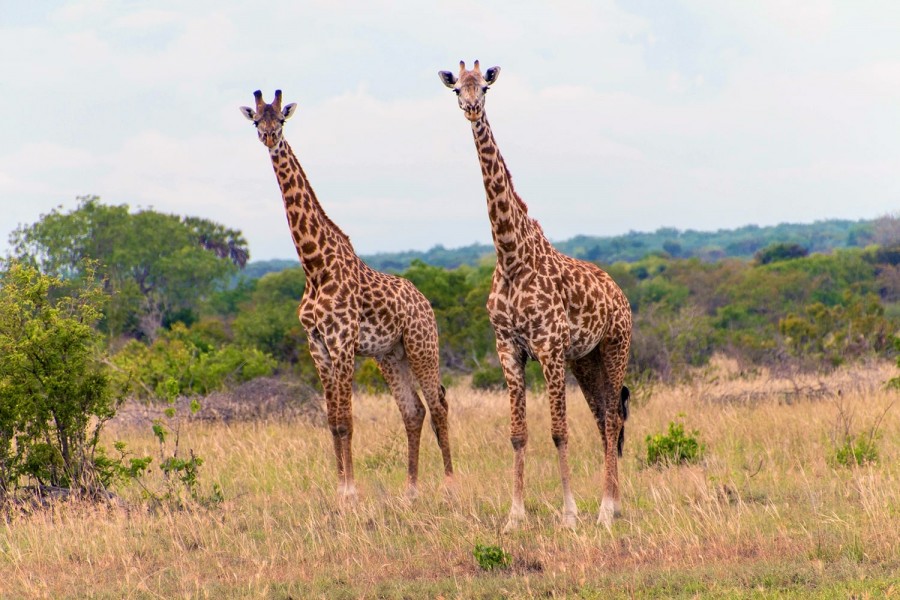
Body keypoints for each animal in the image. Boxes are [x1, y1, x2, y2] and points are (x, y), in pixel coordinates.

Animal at [240, 90, 453, 499]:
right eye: (257, 120)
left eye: (282, 120)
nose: (270, 137)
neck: (314, 265)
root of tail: (424, 301)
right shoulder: (318, 346)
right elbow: (332, 419)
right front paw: (339, 487)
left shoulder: (341, 343)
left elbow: (347, 420)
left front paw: (350, 491)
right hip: (391, 355)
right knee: (414, 411)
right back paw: (411, 489)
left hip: (423, 345)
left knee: (439, 406)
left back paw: (451, 483)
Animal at [438, 62, 632, 528]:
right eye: (456, 88)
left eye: (485, 86)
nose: (471, 109)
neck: (511, 257)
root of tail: (619, 293)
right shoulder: (508, 348)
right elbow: (517, 434)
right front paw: (515, 516)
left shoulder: (548, 347)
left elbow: (559, 432)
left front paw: (569, 514)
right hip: (586, 359)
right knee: (605, 417)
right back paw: (613, 504)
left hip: (615, 346)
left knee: (612, 418)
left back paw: (604, 510)